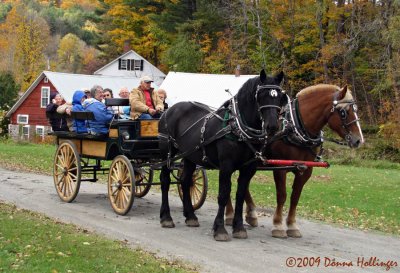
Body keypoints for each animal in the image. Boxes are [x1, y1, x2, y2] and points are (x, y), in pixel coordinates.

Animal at [158, 69, 286, 240]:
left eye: (279, 96)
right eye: (261, 95)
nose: (272, 126)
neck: (237, 127)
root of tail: (168, 110)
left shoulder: (249, 169)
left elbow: (240, 195)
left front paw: (238, 227)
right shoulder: (226, 166)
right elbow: (224, 195)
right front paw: (220, 229)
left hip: (189, 156)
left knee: (185, 181)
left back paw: (190, 216)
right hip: (168, 153)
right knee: (165, 181)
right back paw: (166, 217)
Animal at [227, 84, 364, 237]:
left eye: (356, 110)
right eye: (343, 112)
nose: (359, 140)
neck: (295, 127)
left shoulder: (305, 170)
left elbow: (295, 197)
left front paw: (292, 225)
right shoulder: (280, 168)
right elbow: (282, 195)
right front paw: (278, 225)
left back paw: (251, 214)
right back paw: (230, 214)